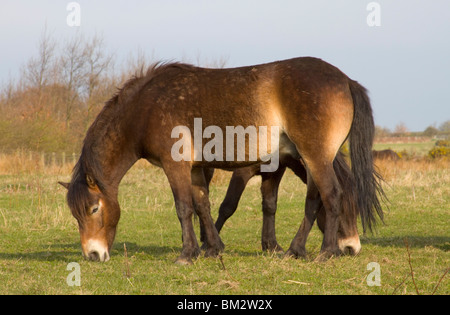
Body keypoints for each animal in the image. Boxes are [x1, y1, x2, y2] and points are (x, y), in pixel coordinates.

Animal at [59, 57, 384, 264]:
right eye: (77, 214)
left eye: (94, 208)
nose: (92, 254)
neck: (146, 108)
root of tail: (345, 80)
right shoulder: (195, 168)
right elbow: (202, 205)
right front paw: (212, 248)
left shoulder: (175, 166)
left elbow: (184, 207)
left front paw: (187, 254)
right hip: (312, 159)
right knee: (315, 199)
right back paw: (297, 250)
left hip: (315, 157)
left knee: (331, 195)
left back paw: (325, 252)